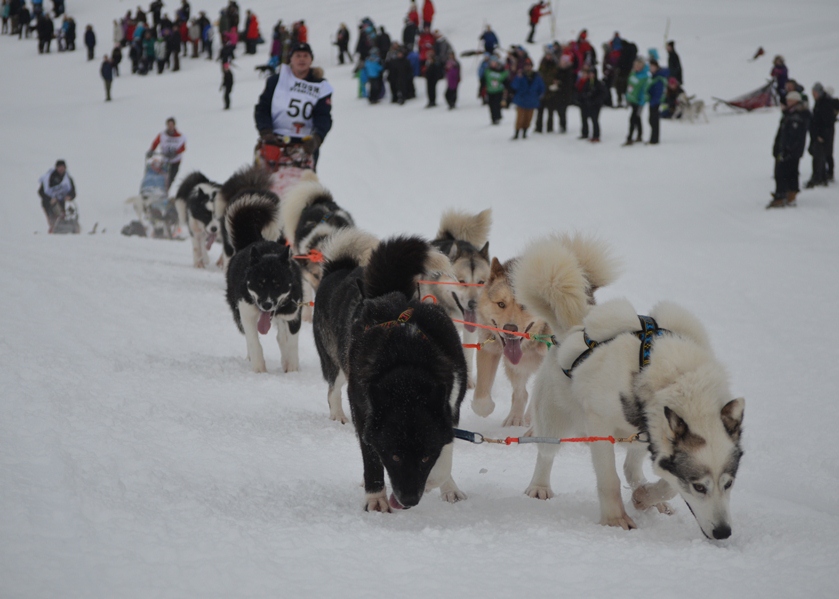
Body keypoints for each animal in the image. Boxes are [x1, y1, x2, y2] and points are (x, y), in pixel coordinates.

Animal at [225, 191, 303, 374]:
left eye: (277, 284)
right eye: (259, 283)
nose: (266, 305)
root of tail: (254, 241)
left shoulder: (293, 313)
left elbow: (290, 342)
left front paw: (292, 368)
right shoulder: (246, 312)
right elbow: (254, 341)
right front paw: (259, 368)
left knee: (281, 336)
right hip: (237, 312)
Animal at [313, 232, 467, 512]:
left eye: (425, 457)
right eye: (394, 456)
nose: (408, 501)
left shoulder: (450, 406)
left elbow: (445, 453)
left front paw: (439, 482)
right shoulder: (363, 410)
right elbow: (371, 456)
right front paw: (376, 498)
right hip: (338, 365)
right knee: (332, 391)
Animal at [513, 235, 744, 539]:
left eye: (729, 483)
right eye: (699, 486)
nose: (723, 532)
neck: (674, 377)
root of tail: (578, 320)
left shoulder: (656, 435)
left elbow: (668, 483)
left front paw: (647, 497)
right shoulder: (599, 425)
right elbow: (609, 478)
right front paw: (615, 519)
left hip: (639, 434)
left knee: (631, 469)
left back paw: (649, 497)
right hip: (553, 416)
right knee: (546, 453)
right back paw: (539, 486)